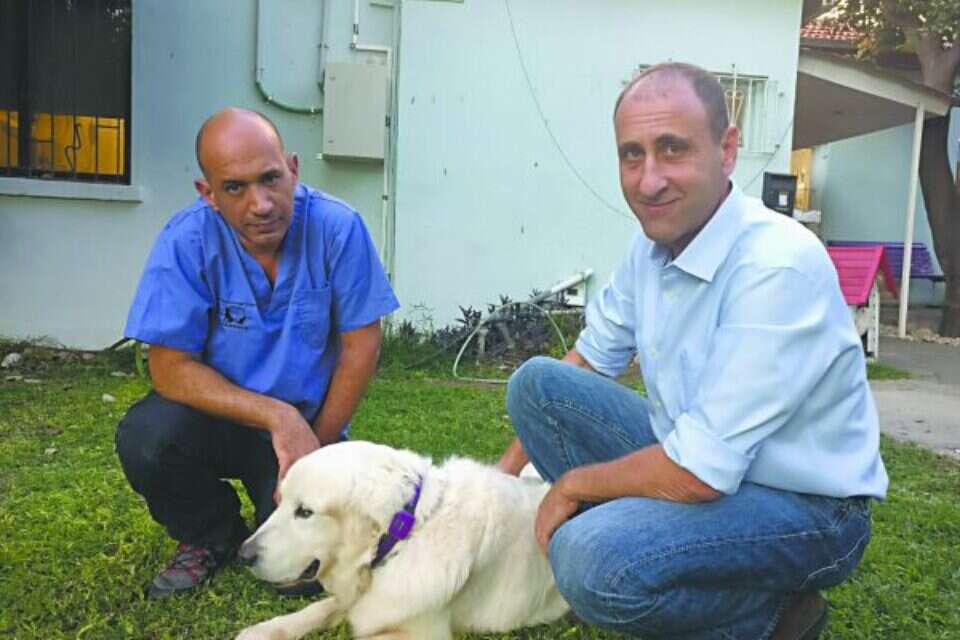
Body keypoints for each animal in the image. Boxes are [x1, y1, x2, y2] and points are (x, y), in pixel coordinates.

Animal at [236, 440, 569, 640]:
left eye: (305, 512)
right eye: (281, 502)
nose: (244, 554)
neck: (405, 539)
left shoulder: (422, 633)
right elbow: (319, 608)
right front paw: (264, 630)